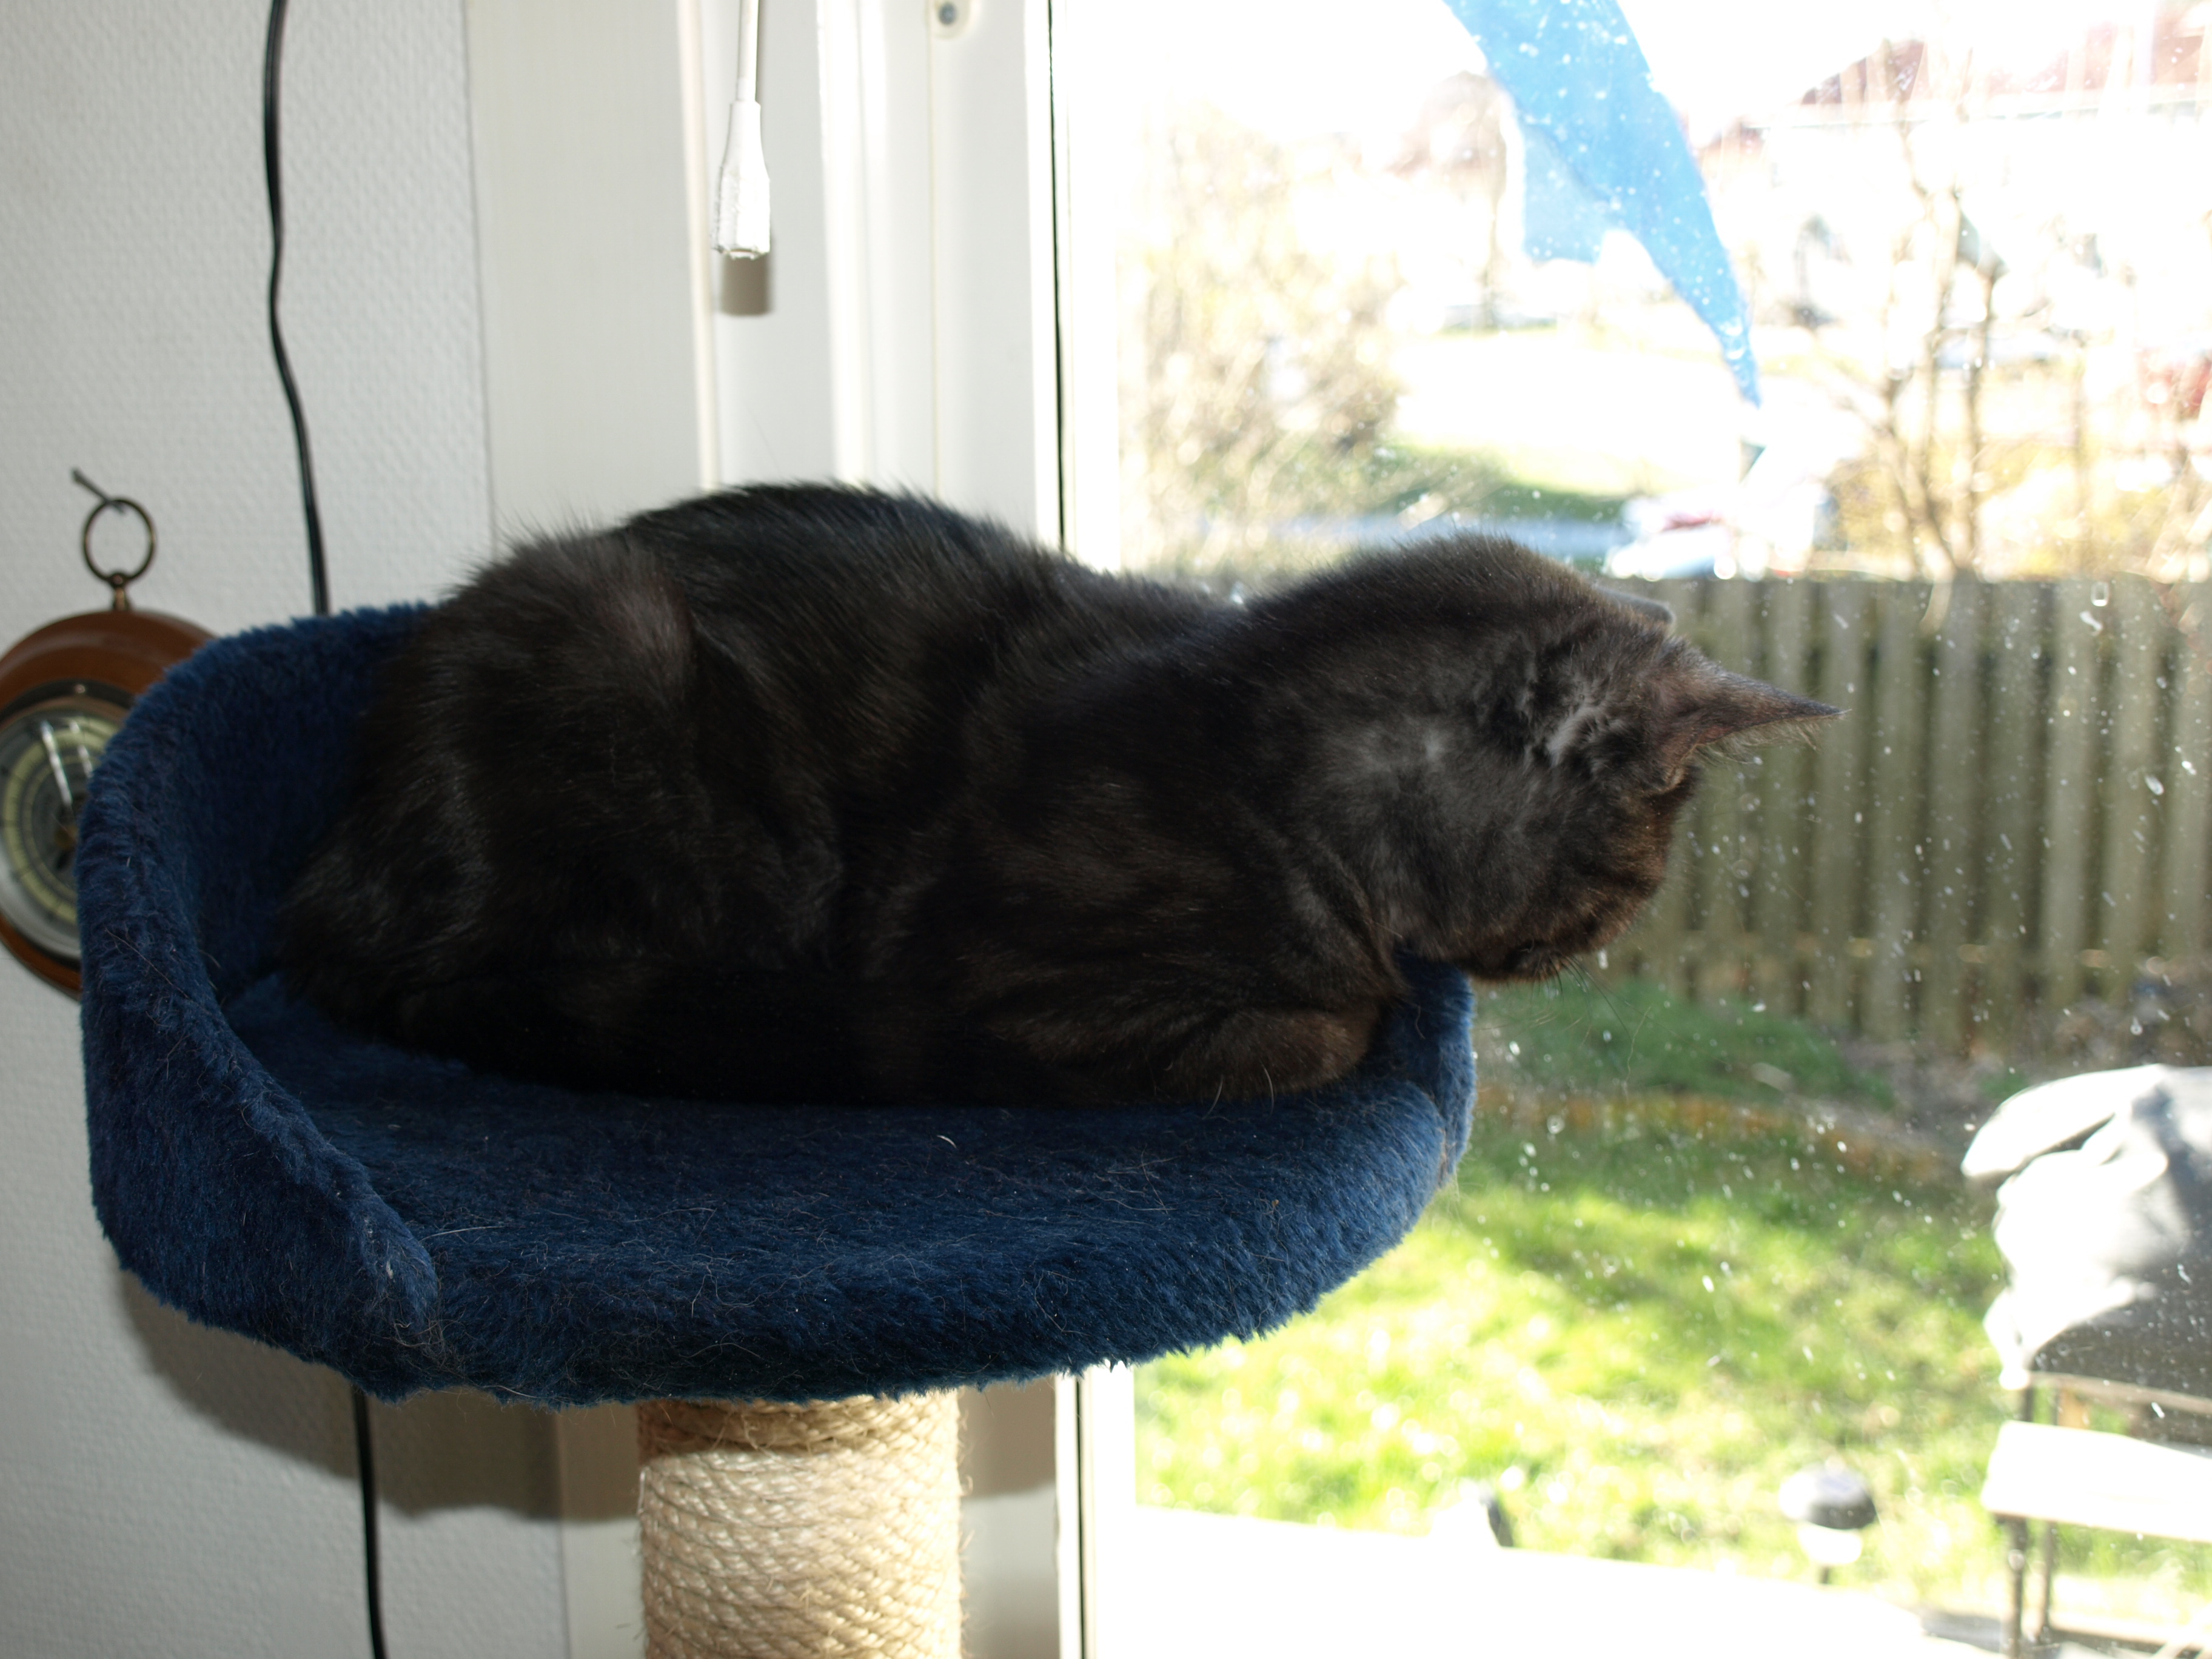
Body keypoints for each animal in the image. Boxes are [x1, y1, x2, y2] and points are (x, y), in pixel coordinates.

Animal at [278, 483, 1836, 1107]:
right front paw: (1369, 1005)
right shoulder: (1023, 991)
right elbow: (1325, 1027)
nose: (1594, 944)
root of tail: (330, 895)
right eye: (1623, 879)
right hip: (613, 639)